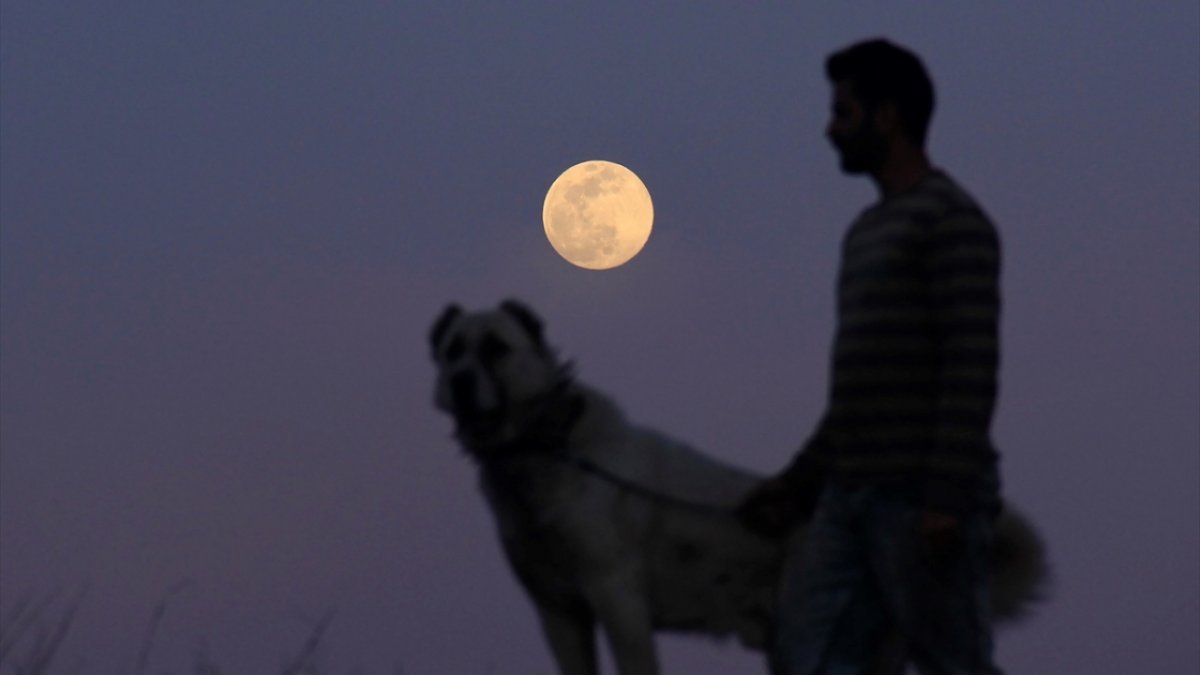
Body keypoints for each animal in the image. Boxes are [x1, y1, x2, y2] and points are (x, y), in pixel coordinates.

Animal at [429, 300, 1041, 672]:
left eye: (496, 348)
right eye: (453, 350)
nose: (458, 382)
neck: (550, 447)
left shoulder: (619, 602)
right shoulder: (558, 613)